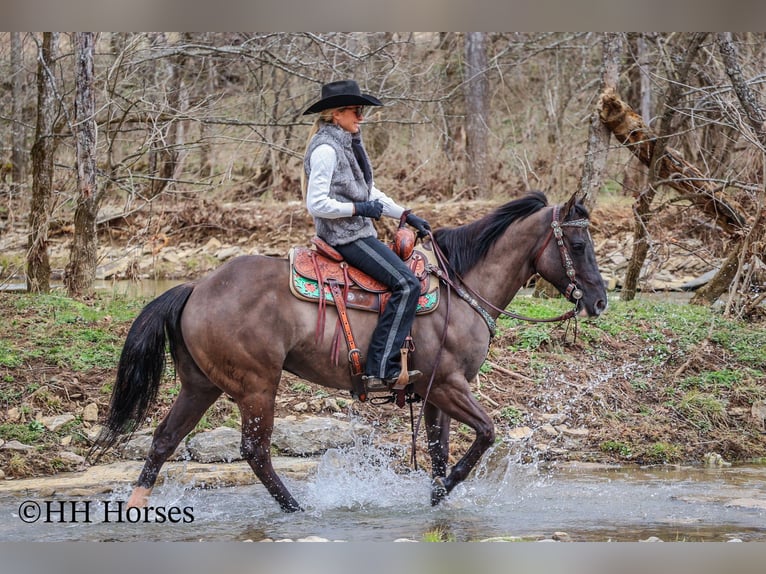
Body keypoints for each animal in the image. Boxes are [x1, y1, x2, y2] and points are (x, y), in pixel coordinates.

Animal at [91, 192, 608, 512]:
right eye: (578, 243)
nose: (600, 301)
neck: (461, 289)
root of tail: (196, 287)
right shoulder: (447, 384)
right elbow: (485, 433)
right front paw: (445, 488)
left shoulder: (437, 393)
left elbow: (440, 451)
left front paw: (438, 496)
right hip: (257, 387)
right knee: (255, 452)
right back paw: (298, 510)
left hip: (201, 386)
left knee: (164, 440)